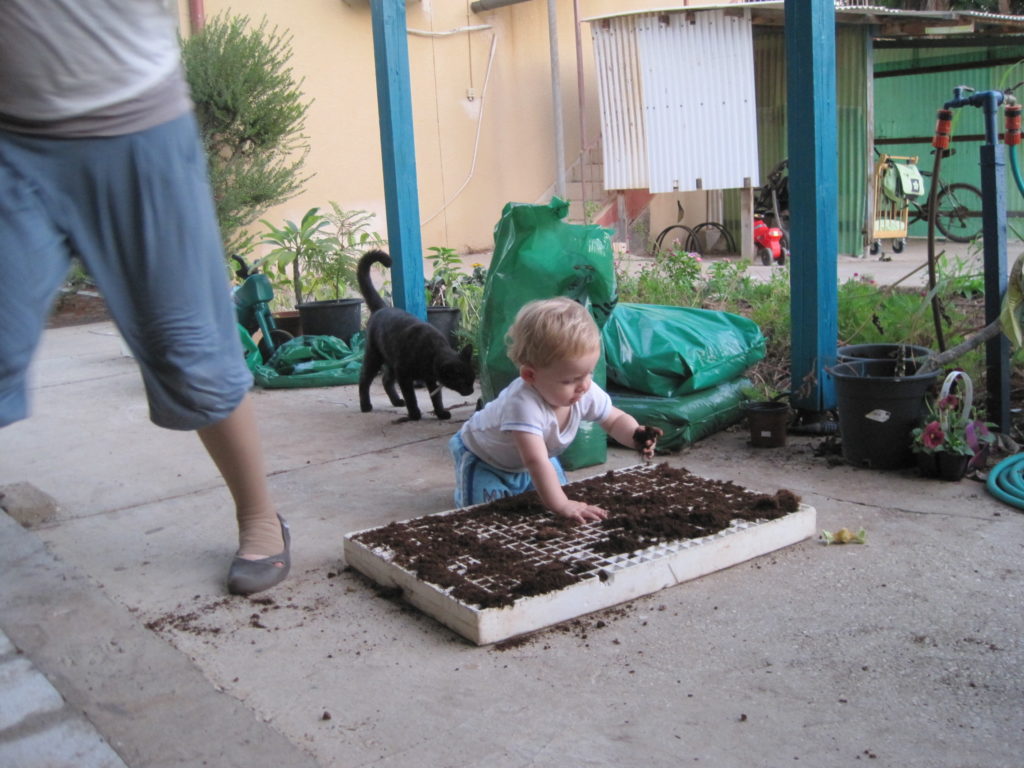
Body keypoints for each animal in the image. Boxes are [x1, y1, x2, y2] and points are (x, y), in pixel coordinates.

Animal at [356, 250, 475, 421]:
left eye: (472, 378)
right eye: (463, 381)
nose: (471, 390)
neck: (431, 353)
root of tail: (382, 308)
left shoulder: (430, 378)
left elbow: (436, 398)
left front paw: (441, 413)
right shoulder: (404, 374)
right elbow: (411, 397)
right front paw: (414, 414)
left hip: (391, 360)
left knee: (386, 380)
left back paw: (397, 401)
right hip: (374, 357)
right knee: (364, 379)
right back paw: (365, 406)